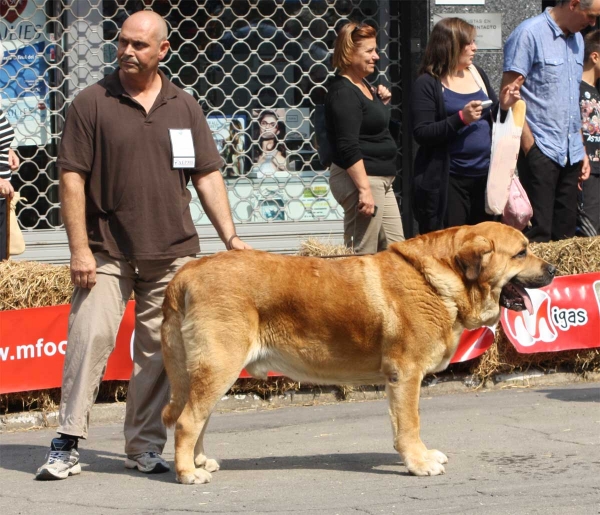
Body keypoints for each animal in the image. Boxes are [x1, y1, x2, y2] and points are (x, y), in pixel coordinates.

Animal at [161, 221, 556, 484]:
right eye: (521, 252)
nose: (553, 268)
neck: (443, 280)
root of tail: (185, 274)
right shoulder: (405, 374)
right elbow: (410, 423)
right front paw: (419, 463)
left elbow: (402, 424)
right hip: (219, 367)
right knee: (187, 421)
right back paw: (187, 473)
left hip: (207, 374)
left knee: (196, 418)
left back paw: (199, 463)